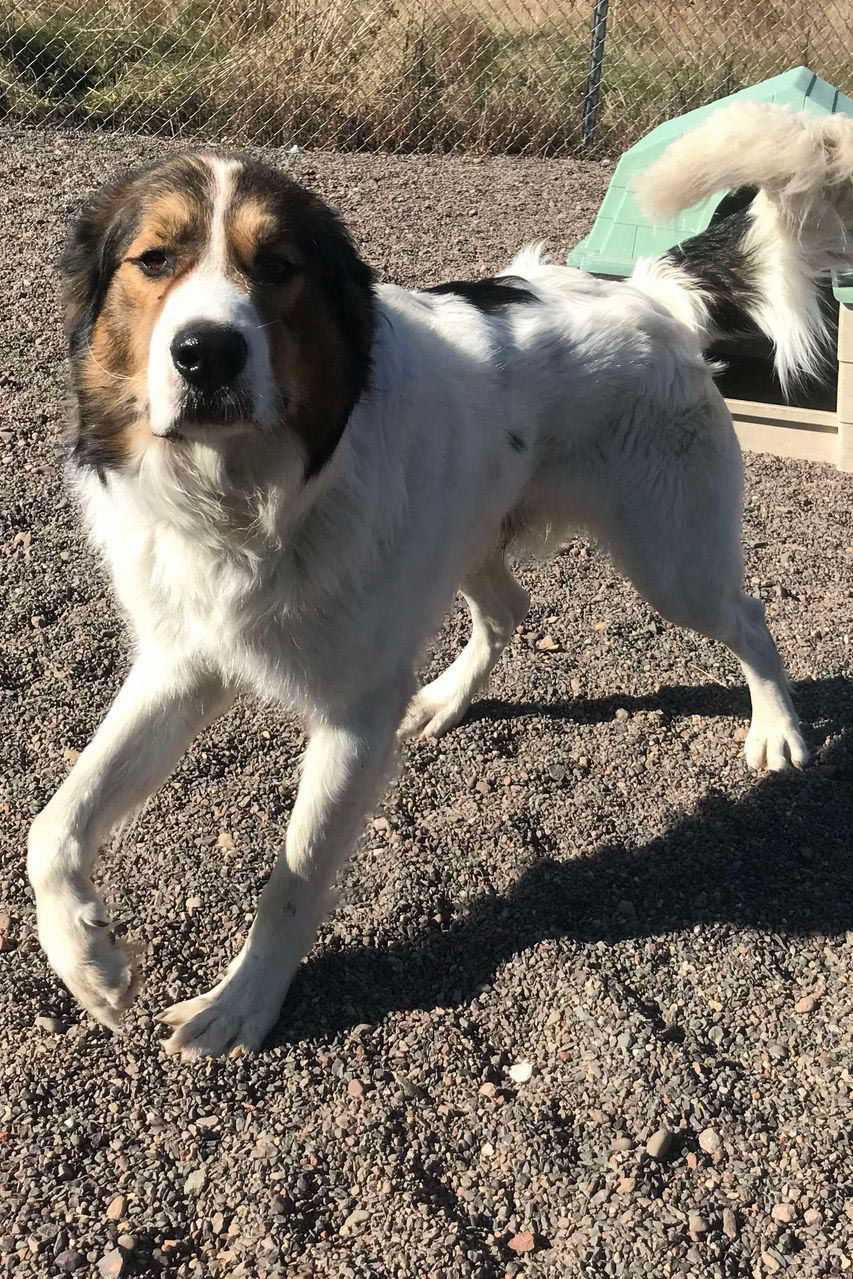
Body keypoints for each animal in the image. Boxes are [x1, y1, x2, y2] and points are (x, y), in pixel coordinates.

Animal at [26, 104, 853, 1053]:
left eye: (277, 268)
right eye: (154, 260)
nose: (207, 354)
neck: (247, 496)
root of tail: (647, 292)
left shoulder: (352, 717)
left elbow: (294, 880)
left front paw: (241, 1004)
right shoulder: (182, 660)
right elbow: (51, 827)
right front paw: (88, 962)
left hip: (668, 561)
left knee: (746, 614)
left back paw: (777, 729)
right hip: (471, 535)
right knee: (509, 608)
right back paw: (447, 699)